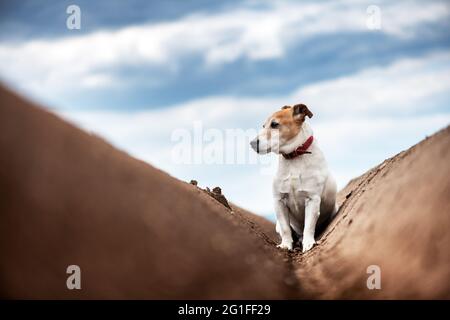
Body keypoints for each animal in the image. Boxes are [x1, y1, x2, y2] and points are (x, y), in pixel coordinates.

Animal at [251, 104, 336, 251]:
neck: (293, 158)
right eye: (263, 125)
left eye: (274, 124)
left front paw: (308, 244)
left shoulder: (312, 200)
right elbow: (286, 228)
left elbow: (308, 226)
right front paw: (286, 245)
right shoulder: (279, 201)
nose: (252, 143)